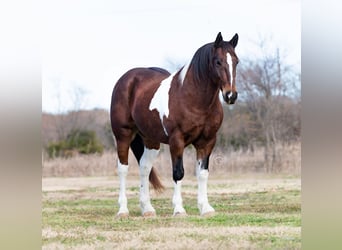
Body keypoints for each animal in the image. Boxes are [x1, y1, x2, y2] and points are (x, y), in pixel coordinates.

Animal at [111, 31, 239, 217]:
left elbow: (202, 173)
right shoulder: (176, 141)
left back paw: (147, 209)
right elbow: (178, 173)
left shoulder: (207, 141)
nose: (231, 95)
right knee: (123, 169)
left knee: (144, 167)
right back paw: (122, 210)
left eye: (236, 61)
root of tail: (127, 79)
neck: (193, 98)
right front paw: (179, 209)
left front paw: (205, 208)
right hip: (123, 135)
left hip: (151, 141)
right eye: (218, 61)